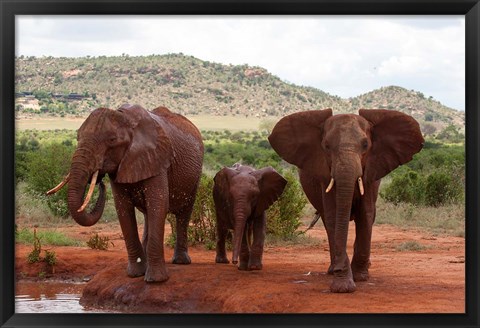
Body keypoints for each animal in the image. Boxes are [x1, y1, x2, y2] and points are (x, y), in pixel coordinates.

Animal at [45, 104, 202, 282]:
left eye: (112, 140)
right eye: (77, 137)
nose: (99, 180)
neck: (125, 118)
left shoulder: (157, 159)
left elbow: (158, 204)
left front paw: (156, 280)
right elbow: (123, 209)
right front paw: (135, 274)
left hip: (194, 178)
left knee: (184, 214)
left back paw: (181, 261)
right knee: (148, 215)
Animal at [270, 109, 424, 292]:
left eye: (365, 145)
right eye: (326, 146)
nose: (339, 271)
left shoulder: (371, 174)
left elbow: (365, 214)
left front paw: (360, 277)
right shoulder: (325, 175)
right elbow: (334, 215)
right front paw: (342, 285)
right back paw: (332, 270)